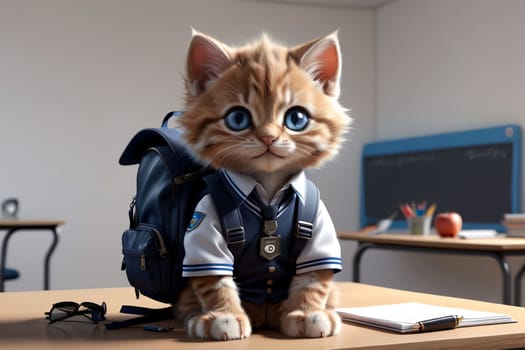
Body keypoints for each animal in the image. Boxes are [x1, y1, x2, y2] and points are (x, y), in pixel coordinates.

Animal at [174, 31, 350, 340]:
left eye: (296, 118)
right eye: (238, 118)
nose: (268, 137)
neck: (267, 189)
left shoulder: (319, 227)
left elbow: (314, 277)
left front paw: (308, 312)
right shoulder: (204, 225)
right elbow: (214, 280)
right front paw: (224, 316)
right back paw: (197, 316)